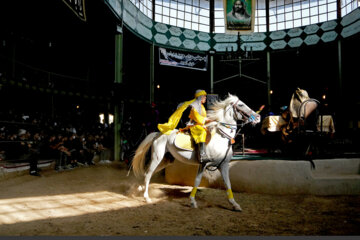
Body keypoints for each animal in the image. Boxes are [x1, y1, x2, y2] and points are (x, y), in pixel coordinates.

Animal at [131, 93, 260, 211]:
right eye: (241, 105)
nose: (257, 117)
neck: (221, 137)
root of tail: (158, 133)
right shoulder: (204, 164)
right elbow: (197, 181)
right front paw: (193, 202)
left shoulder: (223, 165)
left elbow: (228, 184)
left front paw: (235, 204)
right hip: (157, 158)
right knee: (148, 174)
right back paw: (146, 197)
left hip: (165, 160)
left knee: (147, 173)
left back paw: (138, 188)